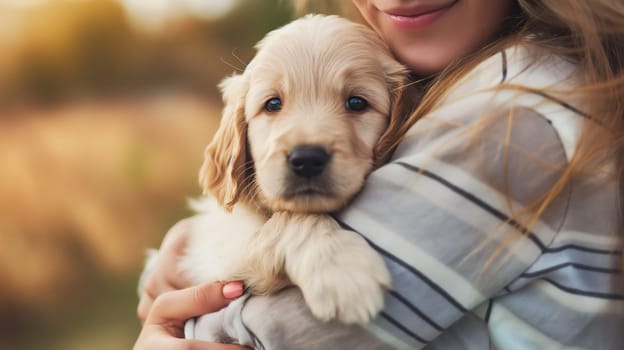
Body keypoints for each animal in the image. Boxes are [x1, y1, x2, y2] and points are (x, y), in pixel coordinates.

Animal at [178, 14, 408, 342]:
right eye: (273, 104)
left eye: (357, 103)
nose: (307, 159)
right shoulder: (219, 256)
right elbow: (292, 217)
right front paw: (342, 270)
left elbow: (290, 216)